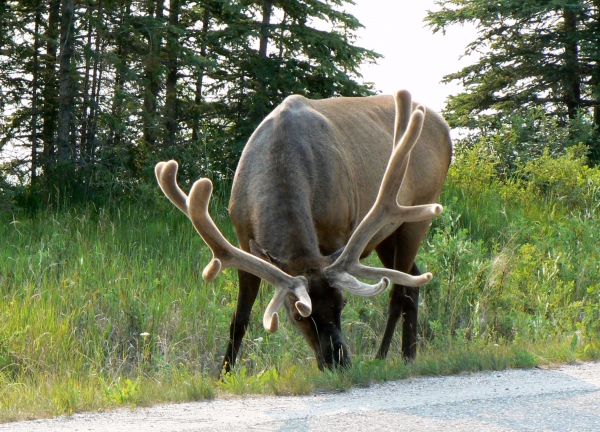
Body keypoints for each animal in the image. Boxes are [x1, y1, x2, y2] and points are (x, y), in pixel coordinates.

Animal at [155, 90, 450, 372]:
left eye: (342, 303)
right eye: (298, 315)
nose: (339, 361)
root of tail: (445, 127)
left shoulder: (335, 236)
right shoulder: (241, 242)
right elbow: (239, 319)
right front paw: (223, 374)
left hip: (418, 212)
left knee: (400, 291)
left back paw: (387, 356)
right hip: (386, 234)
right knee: (413, 279)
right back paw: (406, 354)